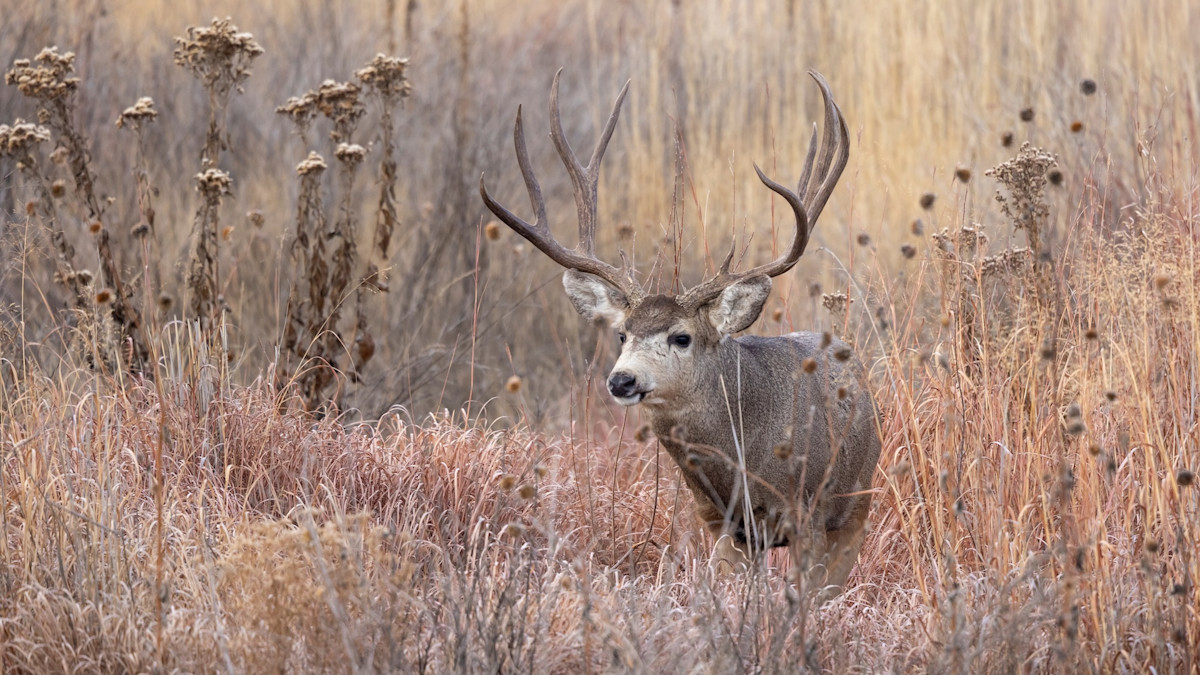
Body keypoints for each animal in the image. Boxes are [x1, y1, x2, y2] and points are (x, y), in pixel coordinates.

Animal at [479, 70, 881, 593]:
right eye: (622, 334)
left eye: (682, 337)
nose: (622, 380)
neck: (744, 456)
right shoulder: (720, 521)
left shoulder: (806, 512)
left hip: (857, 504)